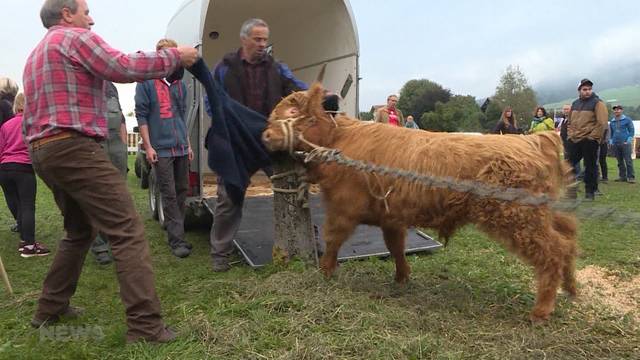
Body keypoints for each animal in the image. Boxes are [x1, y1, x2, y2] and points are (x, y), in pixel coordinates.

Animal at [260, 83, 580, 320]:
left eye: (291, 110)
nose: (265, 134)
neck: (339, 141)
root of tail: (533, 141)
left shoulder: (344, 207)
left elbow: (333, 240)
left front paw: (325, 272)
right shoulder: (391, 216)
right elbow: (395, 247)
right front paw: (402, 277)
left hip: (519, 217)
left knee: (553, 250)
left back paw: (541, 310)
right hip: (543, 215)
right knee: (568, 237)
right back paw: (570, 288)